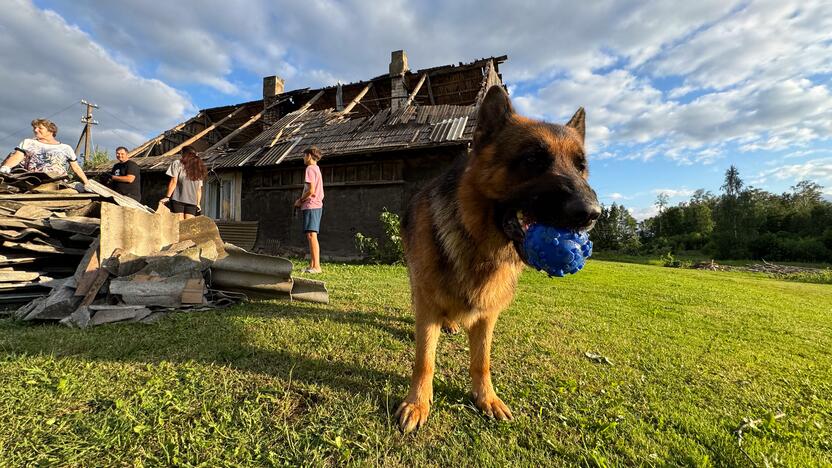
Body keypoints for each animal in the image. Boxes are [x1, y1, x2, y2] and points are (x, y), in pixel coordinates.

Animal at [394, 85, 600, 432]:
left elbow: (482, 361)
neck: (479, 244)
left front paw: (486, 398)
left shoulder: (488, 314)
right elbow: (425, 360)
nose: (591, 213)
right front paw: (417, 403)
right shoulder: (428, 300)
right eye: (532, 159)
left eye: (581, 166)